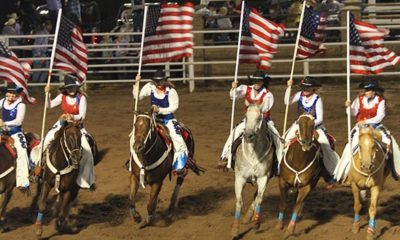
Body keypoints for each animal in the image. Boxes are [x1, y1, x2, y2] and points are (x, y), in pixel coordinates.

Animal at [231, 104, 276, 239]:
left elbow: (259, 199)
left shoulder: (264, 178)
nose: (248, 136)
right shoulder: (239, 178)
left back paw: (249, 218)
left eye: (259, 118)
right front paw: (235, 230)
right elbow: (239, 201)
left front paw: (256, 222)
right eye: (246, 117)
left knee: (256, 197)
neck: (253, 154)